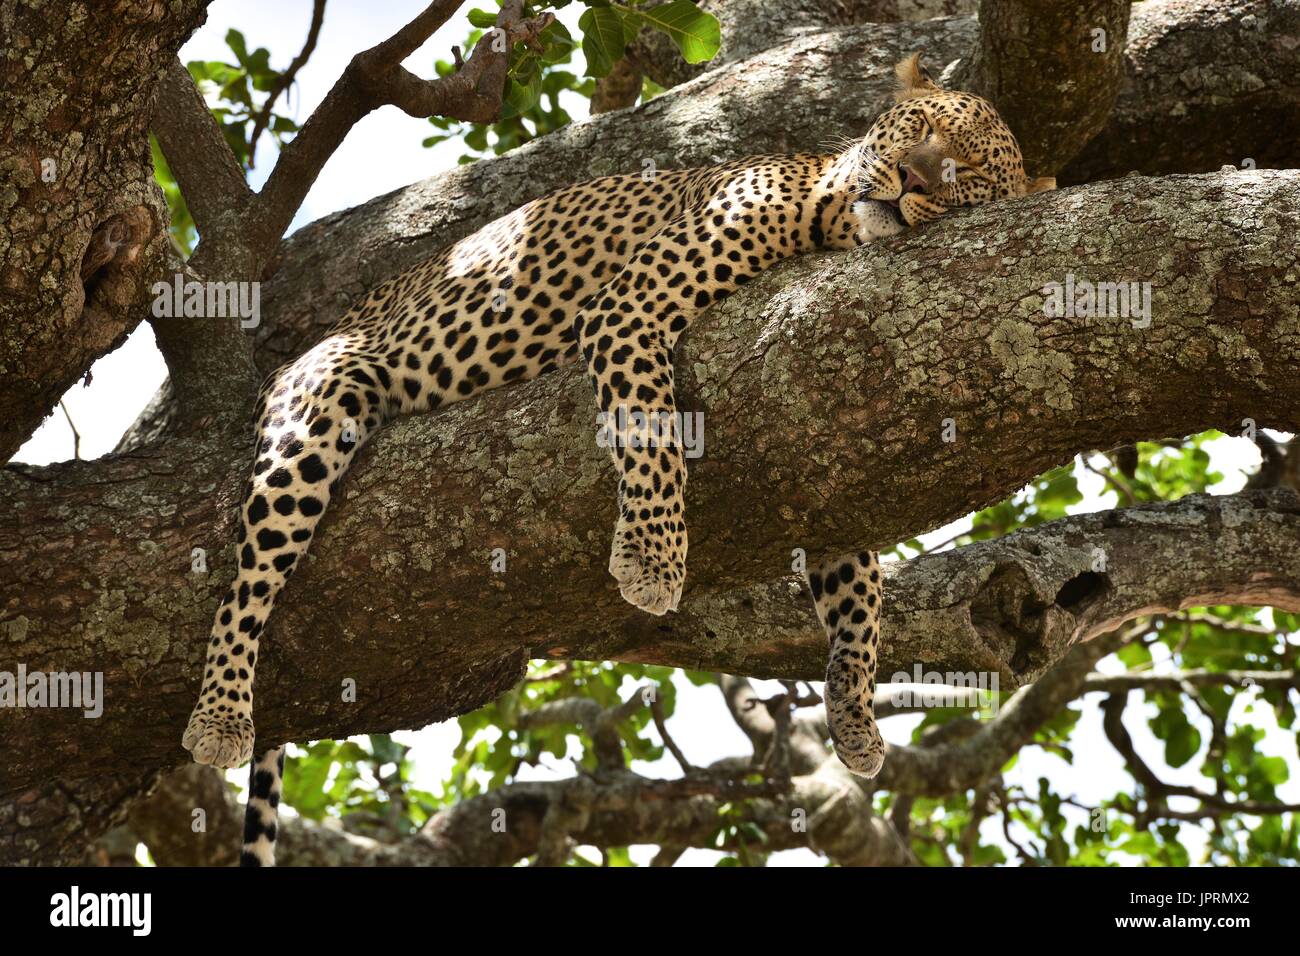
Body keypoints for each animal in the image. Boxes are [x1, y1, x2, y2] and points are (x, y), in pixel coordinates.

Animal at [180, 55, 1055, 868]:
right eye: (920, 130)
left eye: (967, 174)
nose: (912, 178)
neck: (833, 218)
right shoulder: (631, 305)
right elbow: (650, 426)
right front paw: (652, 558)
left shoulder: (817, 458)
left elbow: (859, 590)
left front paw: (856, 714)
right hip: (321, 403)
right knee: (249, 577)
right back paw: (220, 713)